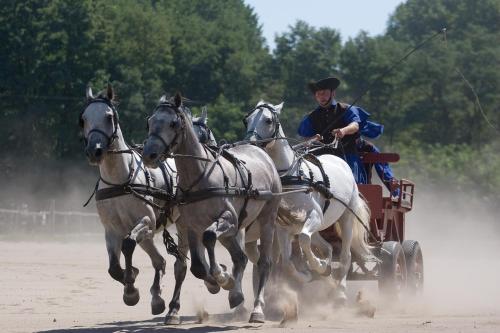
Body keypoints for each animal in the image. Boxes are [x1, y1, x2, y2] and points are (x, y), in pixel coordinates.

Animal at [80, 84, 188, 322]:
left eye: (109, 117)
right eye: (83, 119)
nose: (95, 150)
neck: (121, 180)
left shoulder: (146, 221)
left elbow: (128, 244)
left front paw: (131, 288)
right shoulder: (111, 230)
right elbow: (113, 267)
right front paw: (131, 281)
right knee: (160, 261)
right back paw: (157, 298)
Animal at [142, 93, 282, 322]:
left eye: (173, 123)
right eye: (150, 121)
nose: (149, 154)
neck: (201, 175)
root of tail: (260, 151)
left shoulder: (228, 219)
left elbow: (209, 238)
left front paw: (222, 277)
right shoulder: (191, 226)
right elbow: (197, 267)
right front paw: (217, 282)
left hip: (267, 220)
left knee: (264, 263)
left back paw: (257, 310)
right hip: (232, 232)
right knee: (240, 258)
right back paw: (235, 295)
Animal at [242, 100, 376, 300]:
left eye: (268, 120)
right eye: (247, 120)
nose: (251, 144)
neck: (292, 176)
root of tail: (340, 160)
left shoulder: (314, 216)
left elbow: (304, 240)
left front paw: (318, 266)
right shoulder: (283, 227)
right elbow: (287, 262)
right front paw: (308, 273)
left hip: (346, 218)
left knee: (346, 256)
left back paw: (340, 292)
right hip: (316, 226)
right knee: (327, 247)